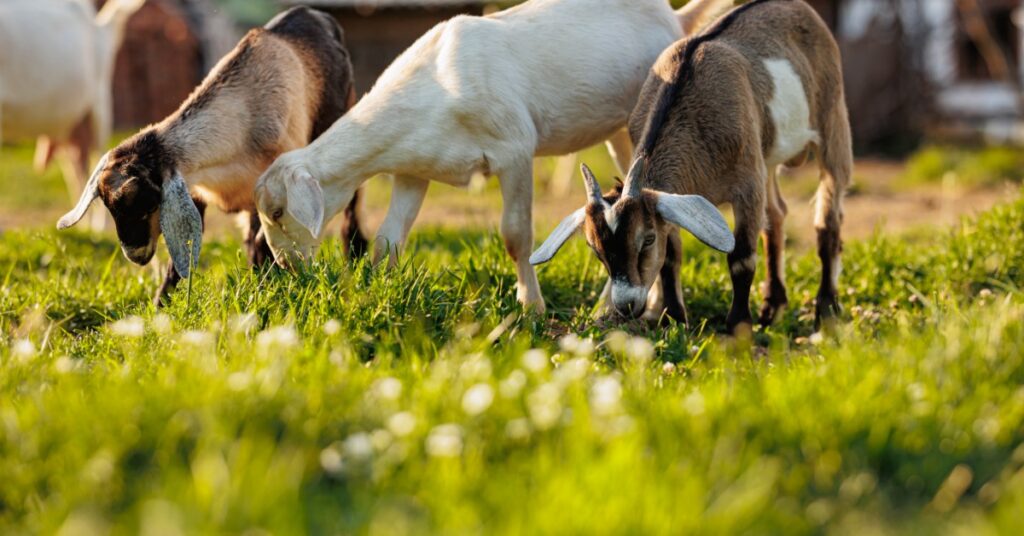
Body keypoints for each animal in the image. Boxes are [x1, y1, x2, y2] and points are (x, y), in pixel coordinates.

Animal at [0, 0, 145, 230]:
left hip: (99, 101)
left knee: (98, 155)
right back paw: (81, 227)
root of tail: (100, 26)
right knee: (78, 168)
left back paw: (99, 228)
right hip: (70, 128)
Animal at [57, 6, 369, 305]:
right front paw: (160, 306)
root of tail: (316, 15)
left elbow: (262, 242)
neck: (242, 118)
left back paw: (354, 255)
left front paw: (268, 291)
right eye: (110, 208)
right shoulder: (198, 191)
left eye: (148, 204)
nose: (136, 255)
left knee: (351, 201)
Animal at [252, 0, 703, 313]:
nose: (286, 267)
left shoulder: (514, 150)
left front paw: (531, 307)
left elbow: (516, 235)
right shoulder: (413, 170)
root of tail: (676, 19)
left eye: (277, 212)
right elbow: (387, 240)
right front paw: (374, 293)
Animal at [532, 0, 853, 333]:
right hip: (768, 154)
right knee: (776, 215)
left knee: (828, 220)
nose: (627, 306)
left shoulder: (747, 184)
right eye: (596, 250)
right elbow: (671, 257)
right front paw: (674, 320)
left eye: (647, 240)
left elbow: (741, 257)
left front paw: (737, 329)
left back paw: (826, 311)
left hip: (832, 119)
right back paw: (772, 308)